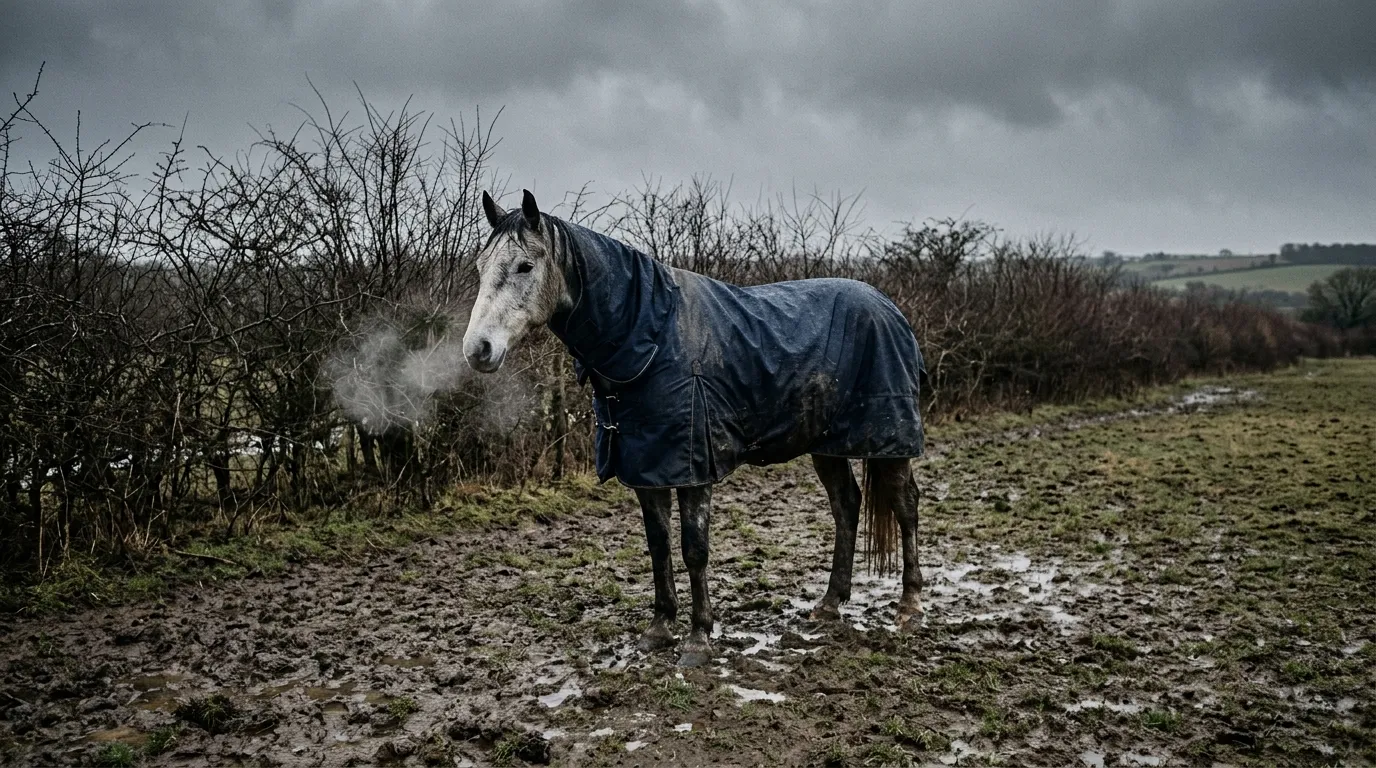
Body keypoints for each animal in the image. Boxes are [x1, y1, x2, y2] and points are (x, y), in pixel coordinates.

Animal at [462, 190, 927, 667]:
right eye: (480, 266)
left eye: (525, 266)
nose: (477, 349)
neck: (650, 337)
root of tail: (888, 307)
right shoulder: (646, 467)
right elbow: (659, 545)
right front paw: (659, 628)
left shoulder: (693, 467)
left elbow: (694, 549)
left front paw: (699, 639)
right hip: (826, 445)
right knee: (846, 505)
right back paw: (831, 603)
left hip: (889, 439)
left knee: (906, 505)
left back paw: (909, 607)